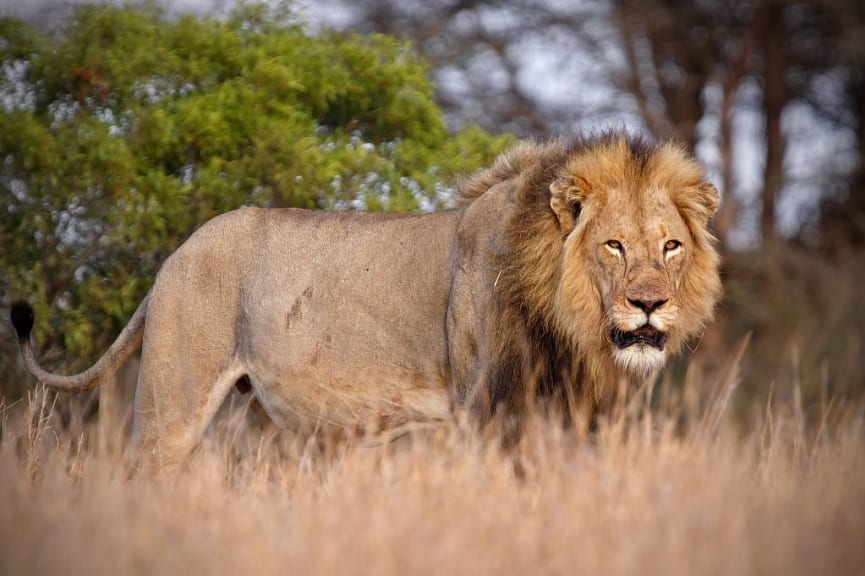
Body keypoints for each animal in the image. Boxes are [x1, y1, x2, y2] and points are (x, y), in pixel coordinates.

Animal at [8, 130, 724, 472]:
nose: (649, 305)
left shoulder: (575, 418)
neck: (567, 325)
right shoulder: (482, 409)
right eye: (613, 246)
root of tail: (172, 258)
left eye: (669, 247)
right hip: (171, 403)